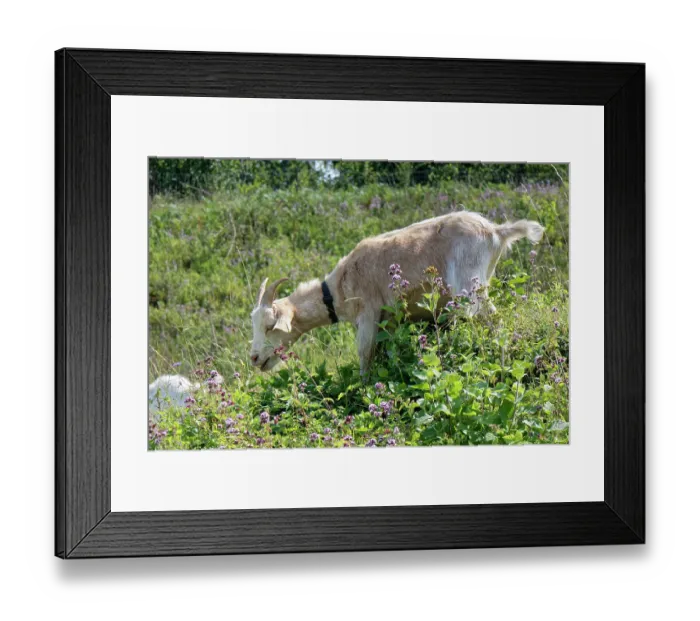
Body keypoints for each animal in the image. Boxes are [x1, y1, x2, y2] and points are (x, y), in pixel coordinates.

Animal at [249, 212, 543, 376]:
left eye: (270, 326)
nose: (254, 358)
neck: (338, 288)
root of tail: (496, 231)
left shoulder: (369, 312)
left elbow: (364, 353)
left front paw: (363, 388)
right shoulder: (388, 321)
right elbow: (385, 352)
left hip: (468, 288)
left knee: (493, 320)